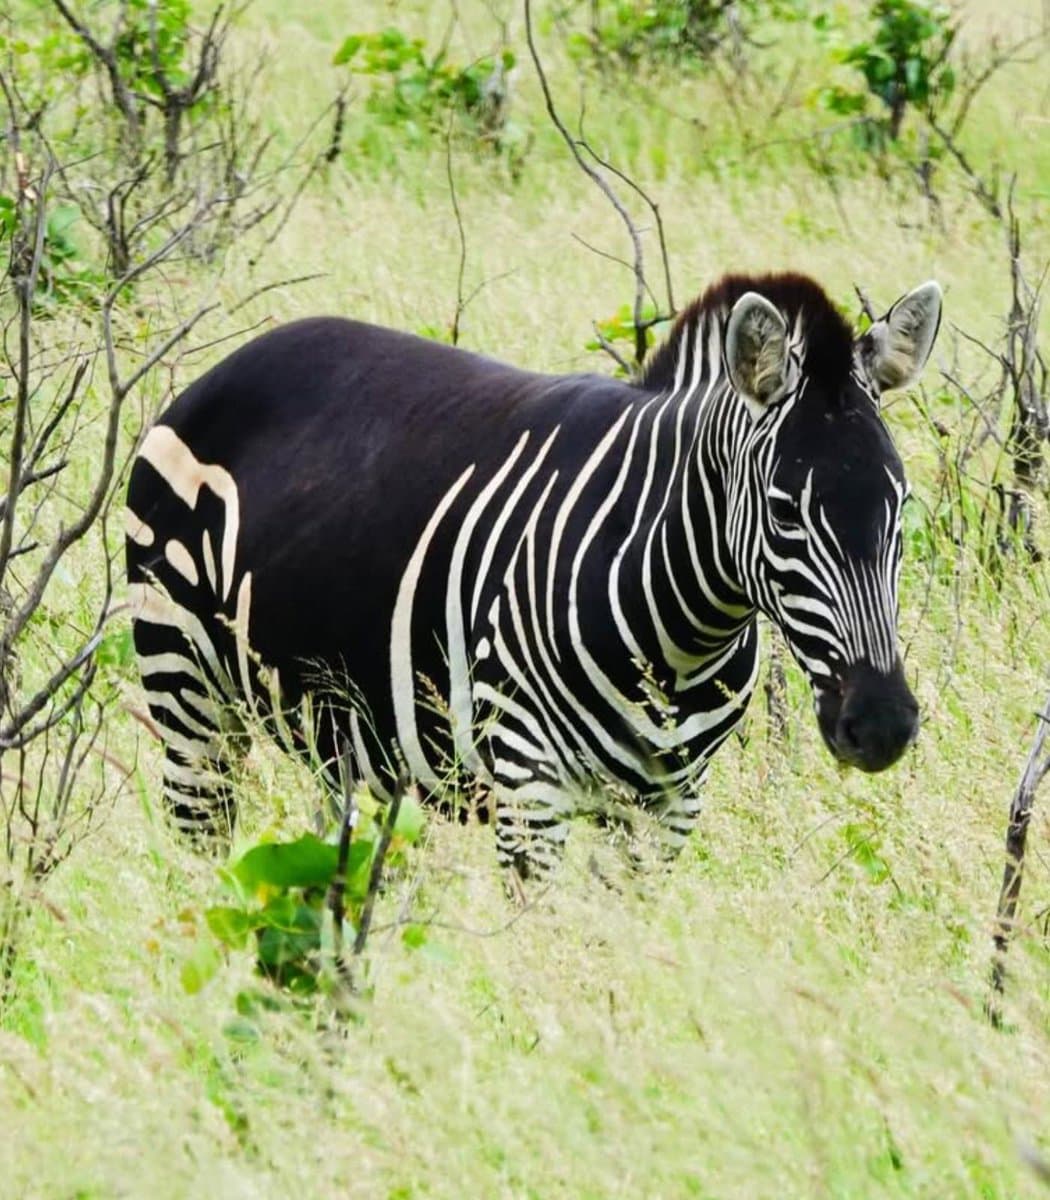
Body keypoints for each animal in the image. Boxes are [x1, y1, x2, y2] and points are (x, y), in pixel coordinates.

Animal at [126, 271, 942, 878]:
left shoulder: (669, 806)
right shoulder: (529, 783)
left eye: (900, 508)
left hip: (337, 730)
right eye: (782, 512)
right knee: (203, 855)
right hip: (189, 693)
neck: (680, 638)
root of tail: (245, 353)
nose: (881, 725)